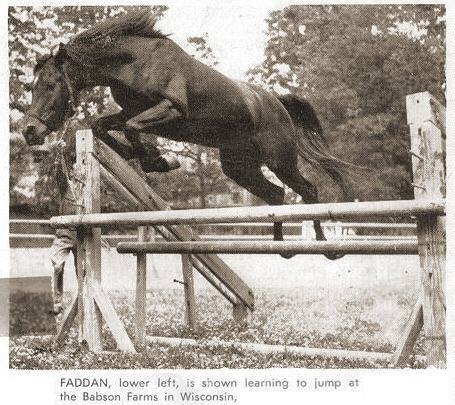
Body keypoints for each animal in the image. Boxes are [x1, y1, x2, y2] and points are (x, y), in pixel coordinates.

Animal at [22, 11, 356, 260]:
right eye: (32, 86)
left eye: (50, 85)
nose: (29, 131)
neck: (134, 63)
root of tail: (277, 102)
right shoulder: (130, 111)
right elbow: (102, 125)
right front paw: (144, 156)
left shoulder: (171, 109)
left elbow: (132, 128)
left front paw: (158, 160)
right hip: (239, 166)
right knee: (276, 193)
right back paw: (281, 247)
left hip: (280, 160)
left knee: (308, 190)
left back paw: (325, 246)